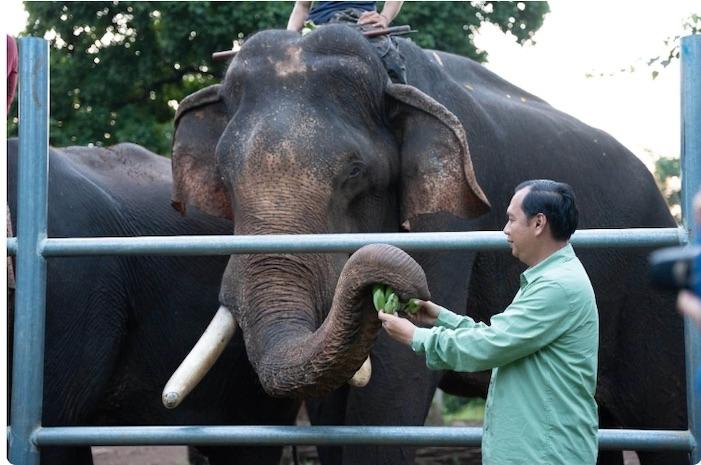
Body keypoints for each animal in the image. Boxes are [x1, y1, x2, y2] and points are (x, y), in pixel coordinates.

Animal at [169, 25, 685, 465]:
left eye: (354, 172)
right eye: (223, 175)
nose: (396, 286)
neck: (390, 74)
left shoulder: (450, 223)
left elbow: (395, 385)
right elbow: (332, 406)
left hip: (649, 298)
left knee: (664, 416)